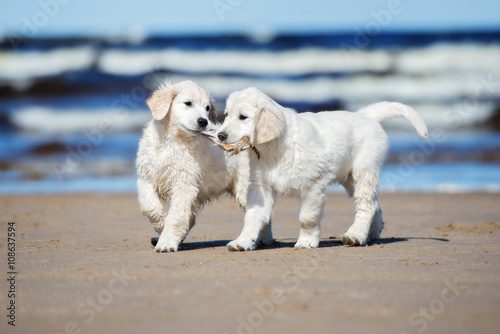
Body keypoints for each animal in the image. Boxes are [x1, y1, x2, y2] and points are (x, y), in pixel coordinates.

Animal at [136, 81, 252, 252]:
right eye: (188, 103)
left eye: (207, 108)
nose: (203, 122)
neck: (173, 140)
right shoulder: (146, 178)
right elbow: (150, 206)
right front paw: (161, 225)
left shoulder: (185, 184)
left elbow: (176, 216)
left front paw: (166, 242)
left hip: (244, 186)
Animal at [217, 87, 428, 252]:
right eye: (226, 115)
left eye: (243, 117)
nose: (220, 135)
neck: (273, 147)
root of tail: (365, 115)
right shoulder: (260, 186)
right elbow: (252, 217)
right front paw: (243, 241)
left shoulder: (312, 186)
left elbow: (307, 218)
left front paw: (307, 241)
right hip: (349, 178)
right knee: (374, 204)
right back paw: (369, 234)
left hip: (364, 170)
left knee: (366, 204)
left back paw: (356, 234)